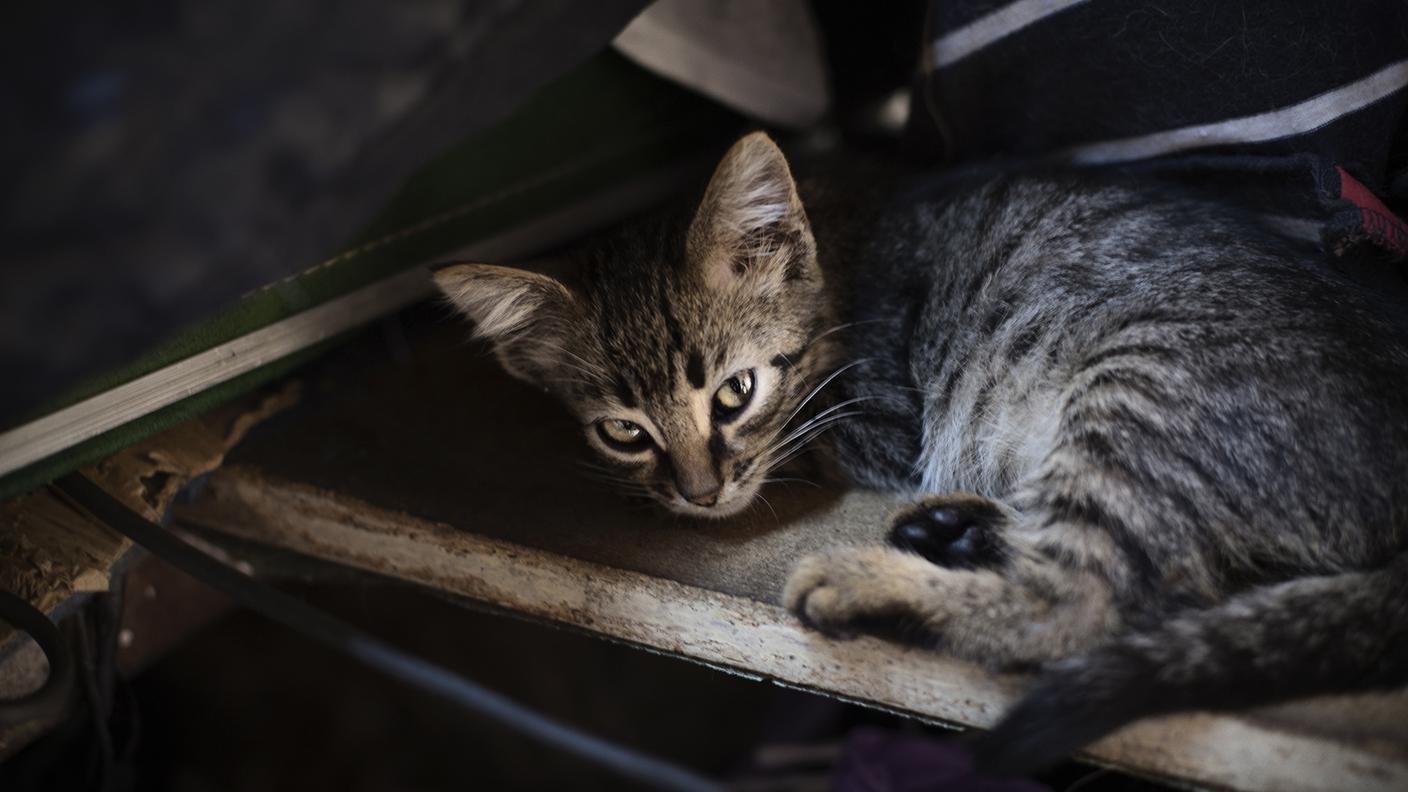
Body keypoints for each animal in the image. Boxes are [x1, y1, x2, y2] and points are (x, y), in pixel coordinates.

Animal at [436, 132, 1408, 766]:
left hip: (1142, 385)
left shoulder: (883, 422)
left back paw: (870, 580)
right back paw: (953, 532)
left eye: (736, 393)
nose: (700, 494)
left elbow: (811, 443)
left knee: (1083, 599)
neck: (835, 250)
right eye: (624, 431)